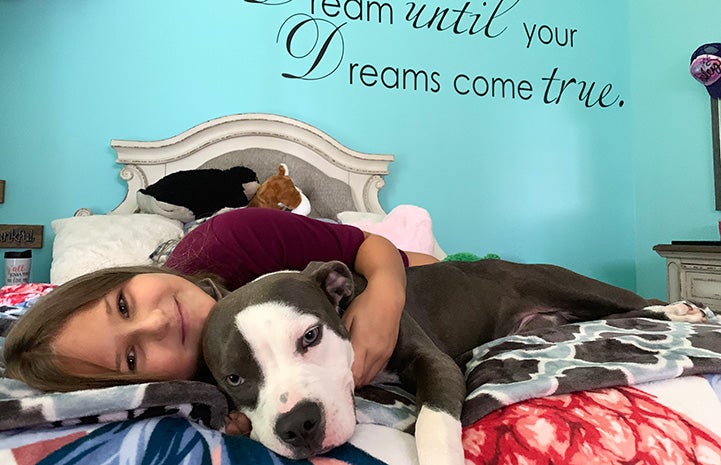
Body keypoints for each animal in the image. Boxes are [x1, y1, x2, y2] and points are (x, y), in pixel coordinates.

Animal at [202, 260, 708, 462]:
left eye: (310, 336)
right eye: (234, 377)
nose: (298, 426)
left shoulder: (435, 363)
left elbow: (433, 421)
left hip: (572, 285)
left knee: (636, 303)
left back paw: (681, 311)